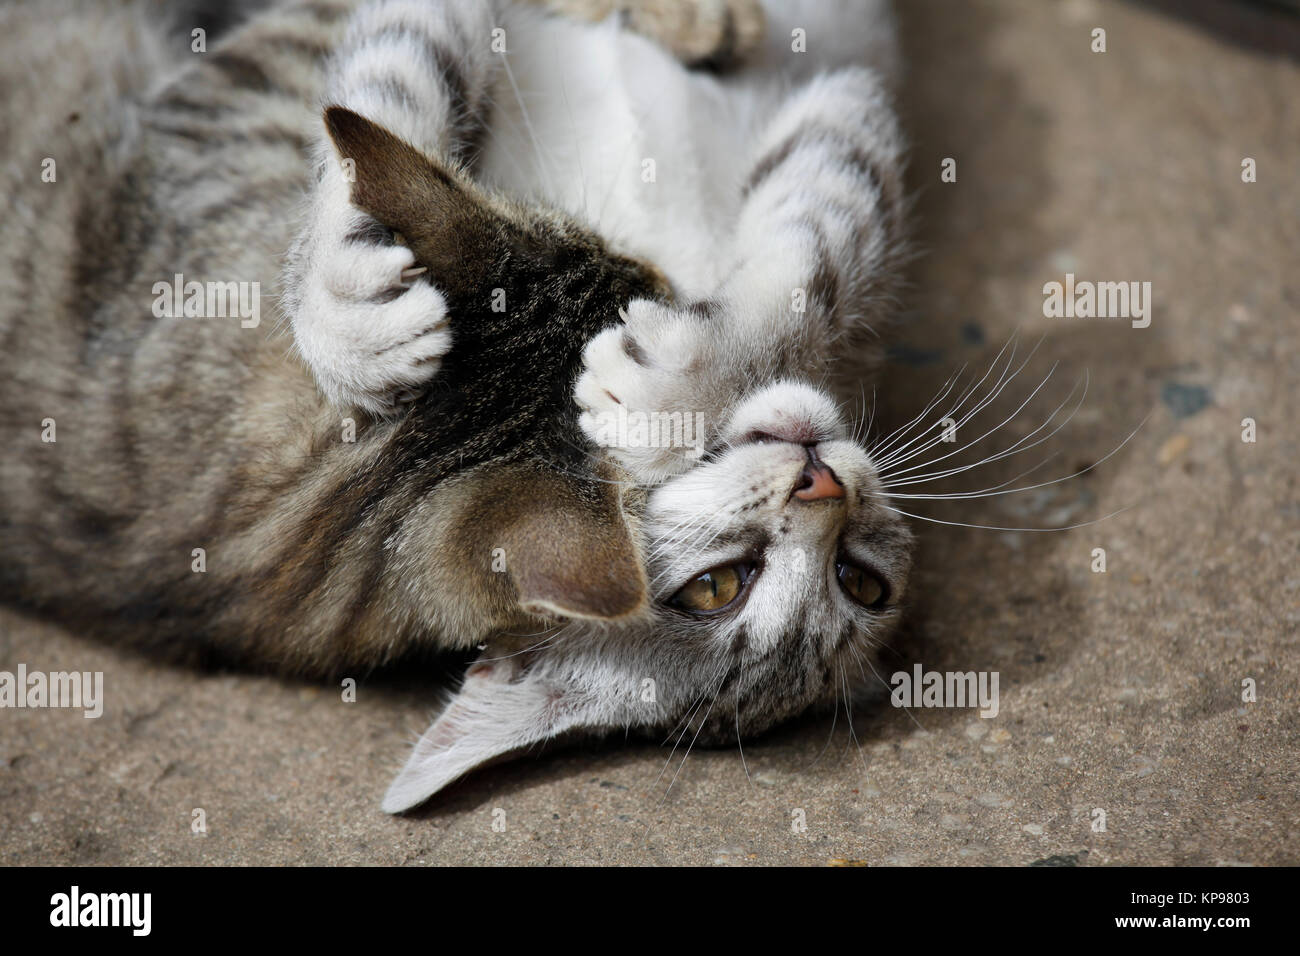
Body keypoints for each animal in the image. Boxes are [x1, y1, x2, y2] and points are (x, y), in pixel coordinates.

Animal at [0, 0, 915, 816]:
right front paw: (340, 310)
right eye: (717, 587)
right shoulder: (238, 98)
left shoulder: (844, 122)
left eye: (862, 584)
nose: (823, 484)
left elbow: (809, 251)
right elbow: (390, 74)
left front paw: (682, 378)